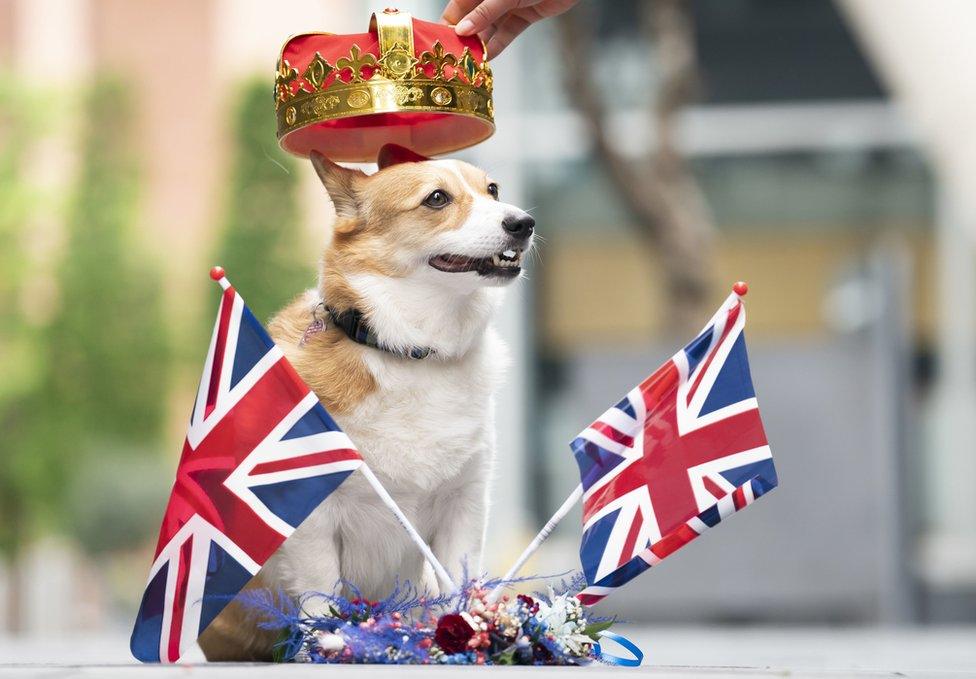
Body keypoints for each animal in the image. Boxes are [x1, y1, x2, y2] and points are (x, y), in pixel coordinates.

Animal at [198, 142, 532, 660]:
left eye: (492, 190)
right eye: (437, 198)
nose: (524, 223)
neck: (410, 351)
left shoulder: (464, 504)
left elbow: (455, 588)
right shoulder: (313, 519)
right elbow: (322, 598)